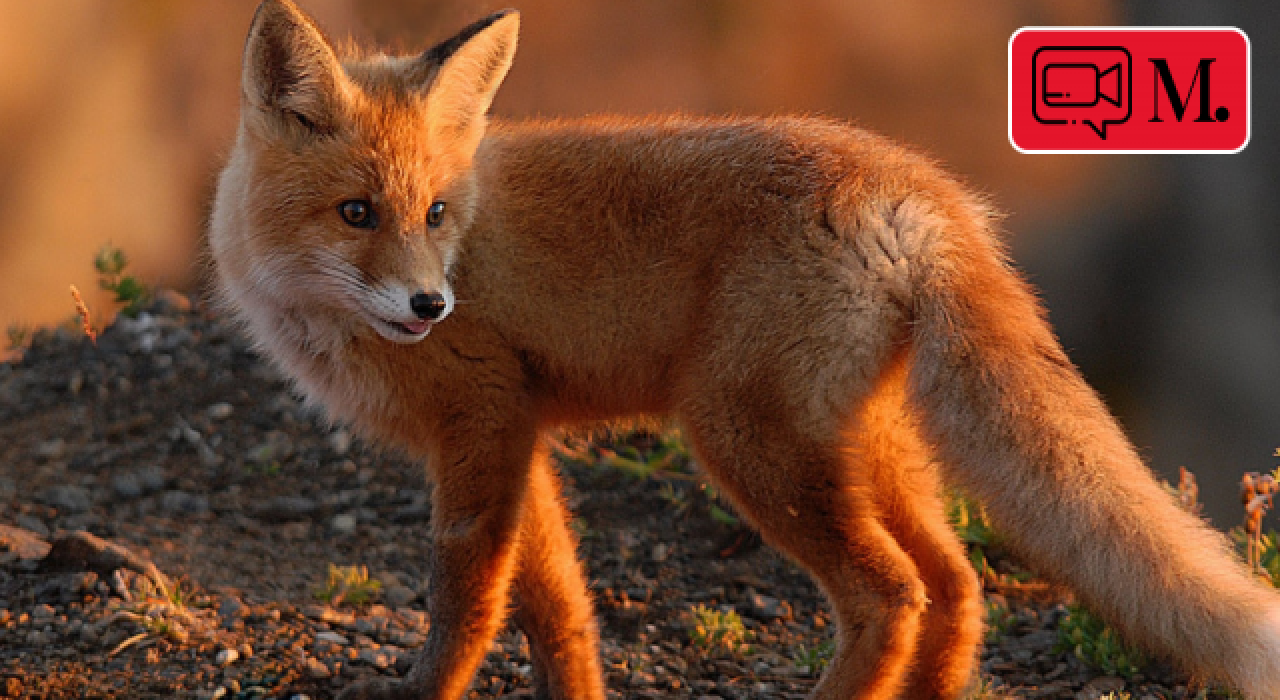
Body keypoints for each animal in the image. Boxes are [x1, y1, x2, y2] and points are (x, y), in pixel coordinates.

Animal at [209, 1, 1280, 700]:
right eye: (357, 213)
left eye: (434, 213)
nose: (432, 303)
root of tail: (920, 187)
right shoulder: (523, 435)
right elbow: (559, 608)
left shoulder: (482, 419)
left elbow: (467, 597)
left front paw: (427, 688)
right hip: (868, 449)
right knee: (956, 585)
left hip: (745, 440)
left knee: (892, 596)